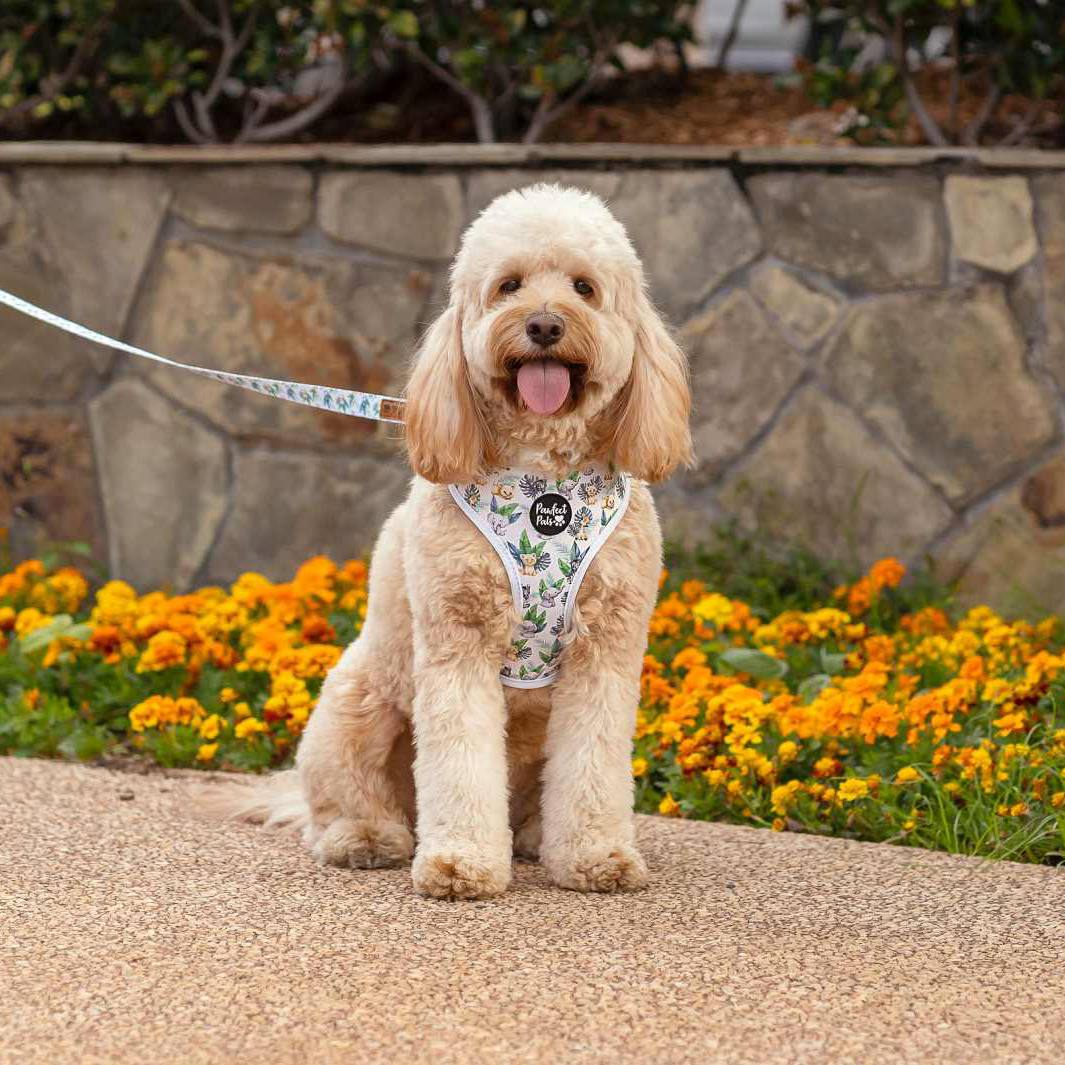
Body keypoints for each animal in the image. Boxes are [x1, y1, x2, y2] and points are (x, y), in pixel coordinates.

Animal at [217, 185, 698, 898]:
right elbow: (461, 764)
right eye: (509, 286)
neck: (542, 484)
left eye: (584, 288)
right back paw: (366, 838)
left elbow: (593, 765)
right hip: (355, 706)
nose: (545, 325)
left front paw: (595, 856)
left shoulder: (606, 651)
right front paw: (461, 863)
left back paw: (534, 839)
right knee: (343, 802)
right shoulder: (457, 643)